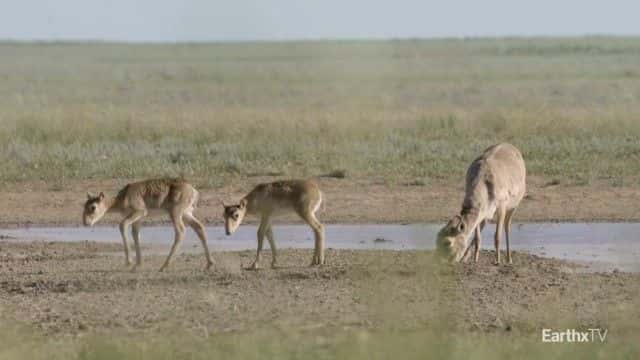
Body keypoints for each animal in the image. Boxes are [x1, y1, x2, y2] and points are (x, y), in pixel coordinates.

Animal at [81, 179, 212, 272]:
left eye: (93, 207)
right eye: (84, 205)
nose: (85, 223)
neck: (123, 197)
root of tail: (194, 191)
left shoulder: (139, 212)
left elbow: (122, 225)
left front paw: (129, 262)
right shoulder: (138, 220)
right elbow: (135, 235)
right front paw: (137, 265)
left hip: (175, 213)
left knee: (180, 231)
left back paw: (164, 266)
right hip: (186, 213)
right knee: (199, 227)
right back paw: (209, 264)